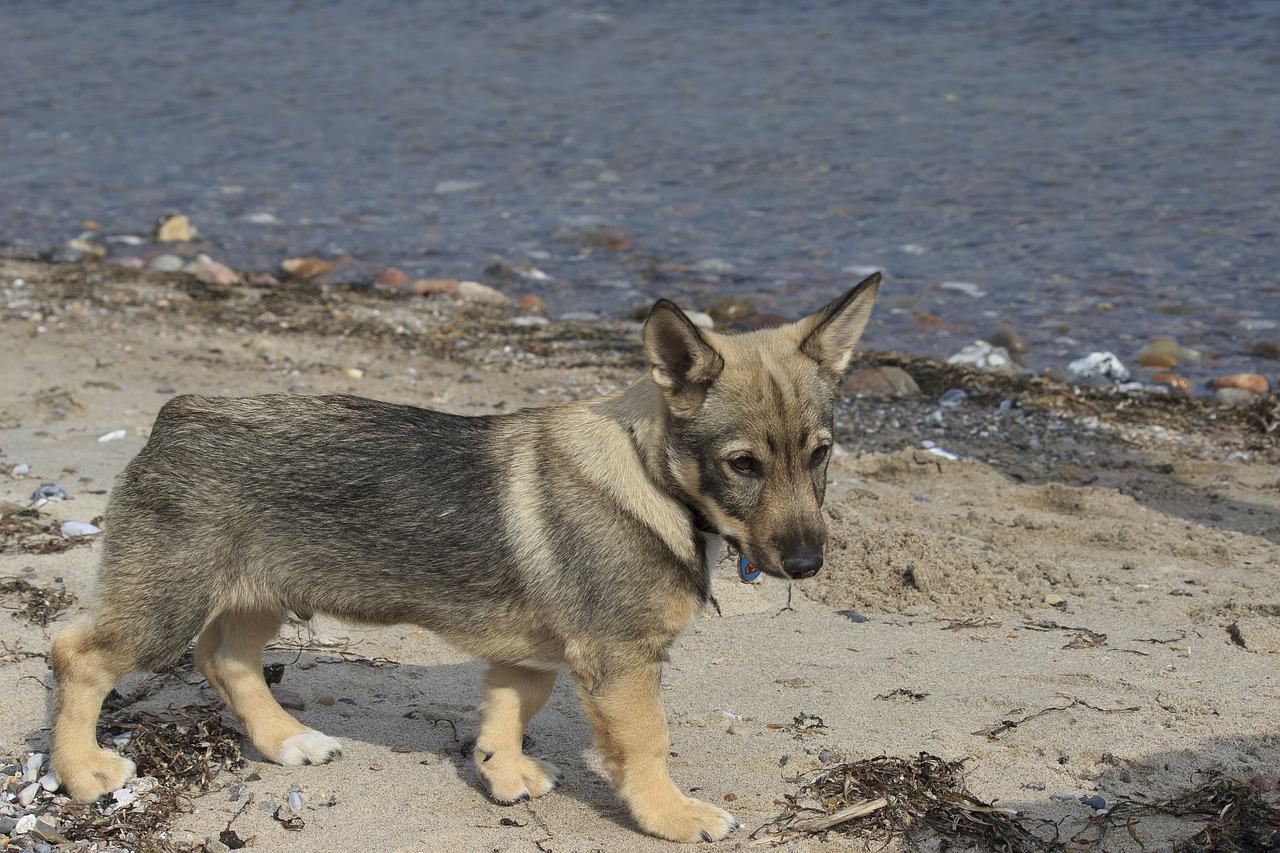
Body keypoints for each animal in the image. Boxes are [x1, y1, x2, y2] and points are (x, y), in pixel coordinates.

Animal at [49, 270, 880, 835]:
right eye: (743, 465)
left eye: (820, 454)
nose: (807, 567)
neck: (652, 476)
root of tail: (177, 416)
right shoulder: (620, 658)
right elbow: (647, 742)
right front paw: (671, 815)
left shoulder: (535, 653)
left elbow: (511, 709)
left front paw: (503, 772)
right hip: (165, 604)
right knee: (78, 655)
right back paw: (83, 772)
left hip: (261, 593)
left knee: (227, 659)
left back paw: (286, 741)